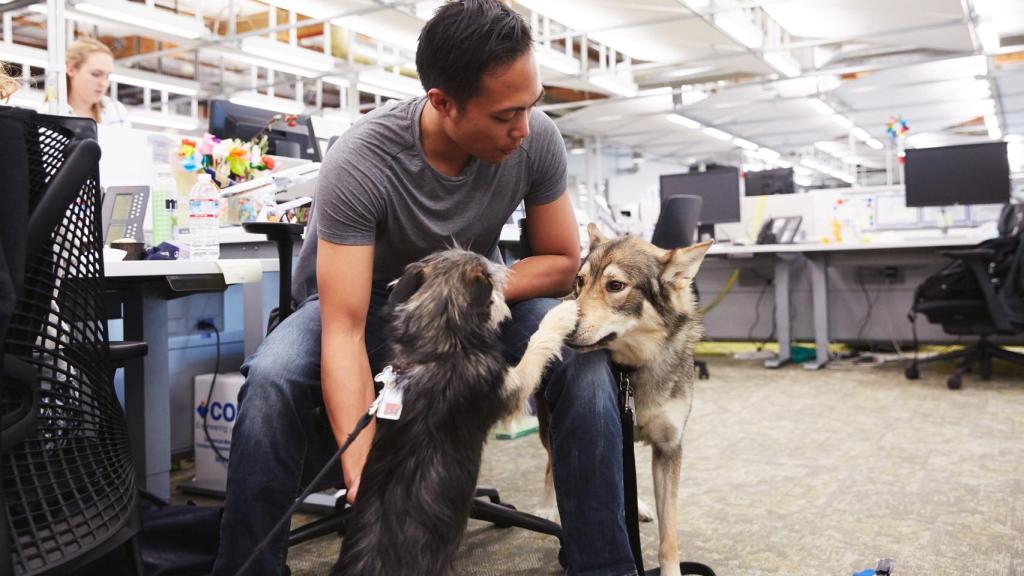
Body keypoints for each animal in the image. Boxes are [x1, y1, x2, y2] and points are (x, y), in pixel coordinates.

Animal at [536, 220, 712, 573]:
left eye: (615, 285)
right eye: (581, 281)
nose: (562, 327)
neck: (633, 370)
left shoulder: (669, 448)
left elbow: (668, 538)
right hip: (551, 425)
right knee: (551, 465)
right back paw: (548, 508)